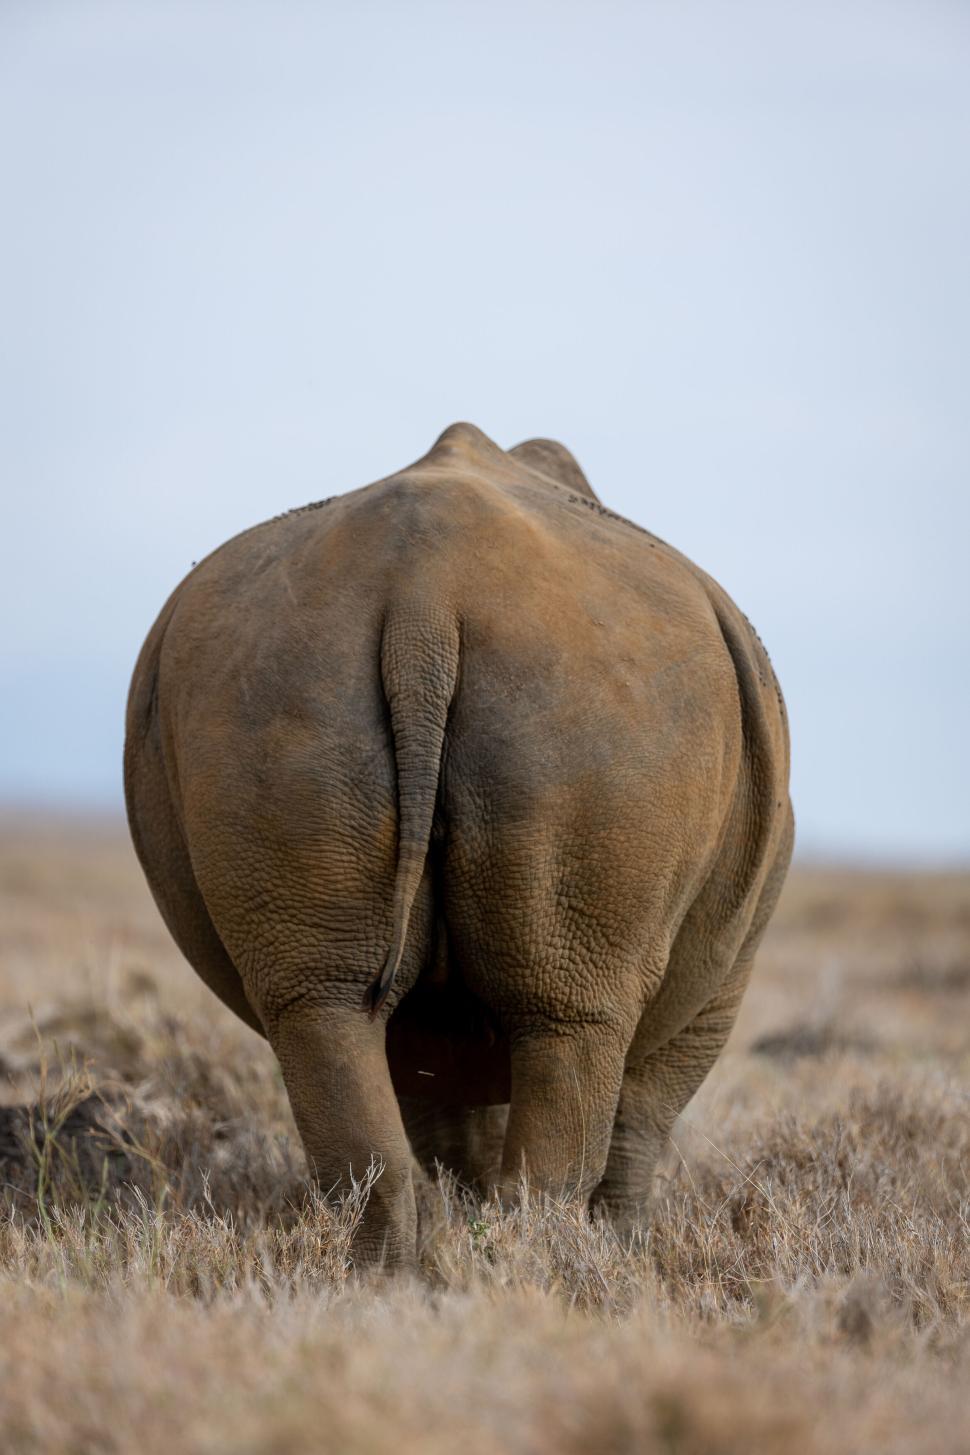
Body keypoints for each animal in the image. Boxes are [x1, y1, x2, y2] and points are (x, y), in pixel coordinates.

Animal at [124, 422, 793, 1266]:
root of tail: (424, 601)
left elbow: (442, 1105)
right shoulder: (726, 976)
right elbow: (642, 1116)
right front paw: (626, 1248)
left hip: (272, 682)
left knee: (323, 1000)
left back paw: (389, 1275)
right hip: (598, 704)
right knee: (573, 1019)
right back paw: (541, 1270)